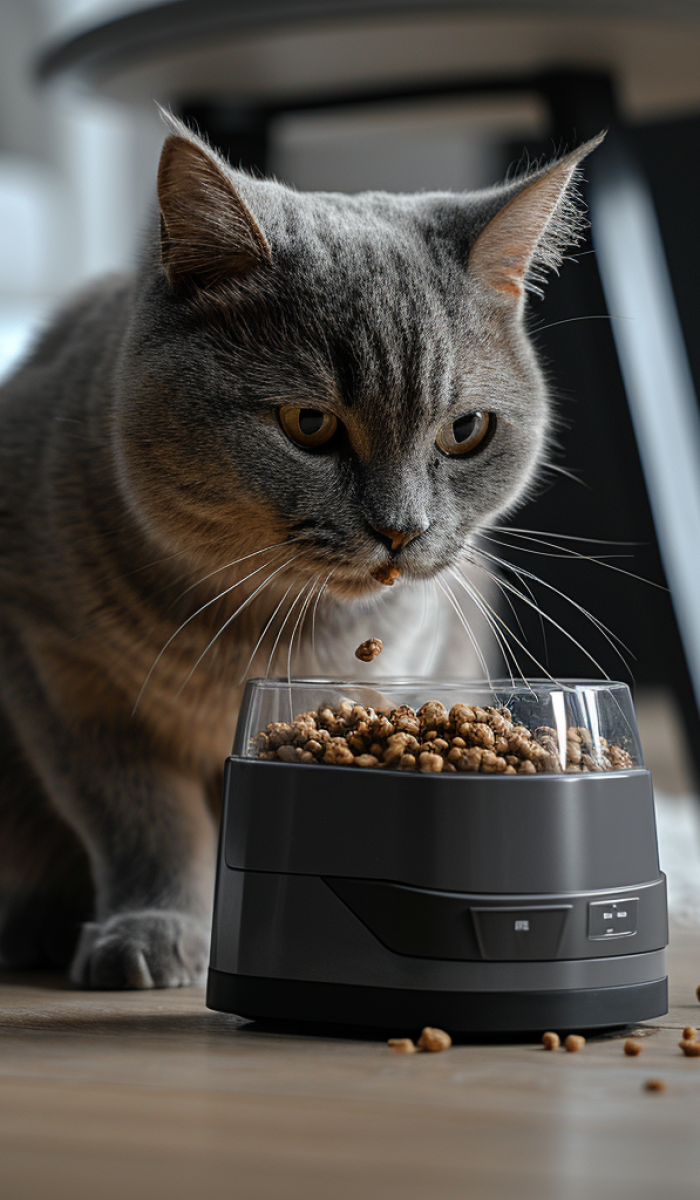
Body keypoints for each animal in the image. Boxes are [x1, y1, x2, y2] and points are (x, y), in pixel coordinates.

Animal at [0, 117, 602, 988]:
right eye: (309, 424)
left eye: (465, 430)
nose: (402, 528)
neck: (250, 628)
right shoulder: (55, 668)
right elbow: (142, 817)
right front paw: (154, 930)